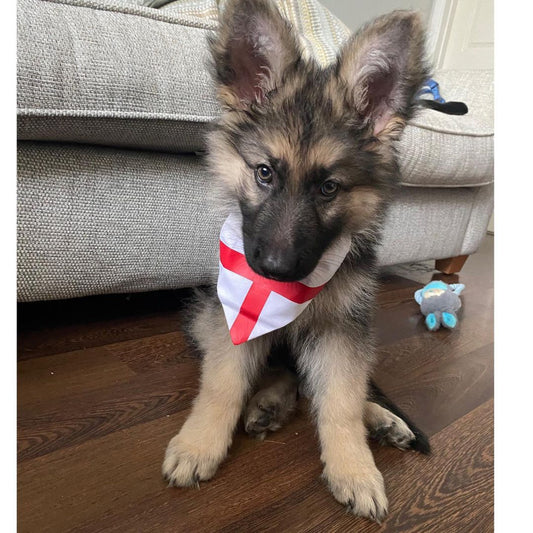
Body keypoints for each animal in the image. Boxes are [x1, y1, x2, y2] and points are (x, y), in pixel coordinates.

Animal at [161, 0, 428, 520]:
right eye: (264, 172)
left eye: (329, 188)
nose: (274, 270)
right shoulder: (232, 316)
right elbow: (223, 384)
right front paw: (199, 444)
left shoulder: (343, 330)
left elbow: (341, 399)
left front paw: (354, 468)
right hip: (202, 315)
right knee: (283, 373)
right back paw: (270, 403)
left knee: (325, 386)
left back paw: (378, 419)